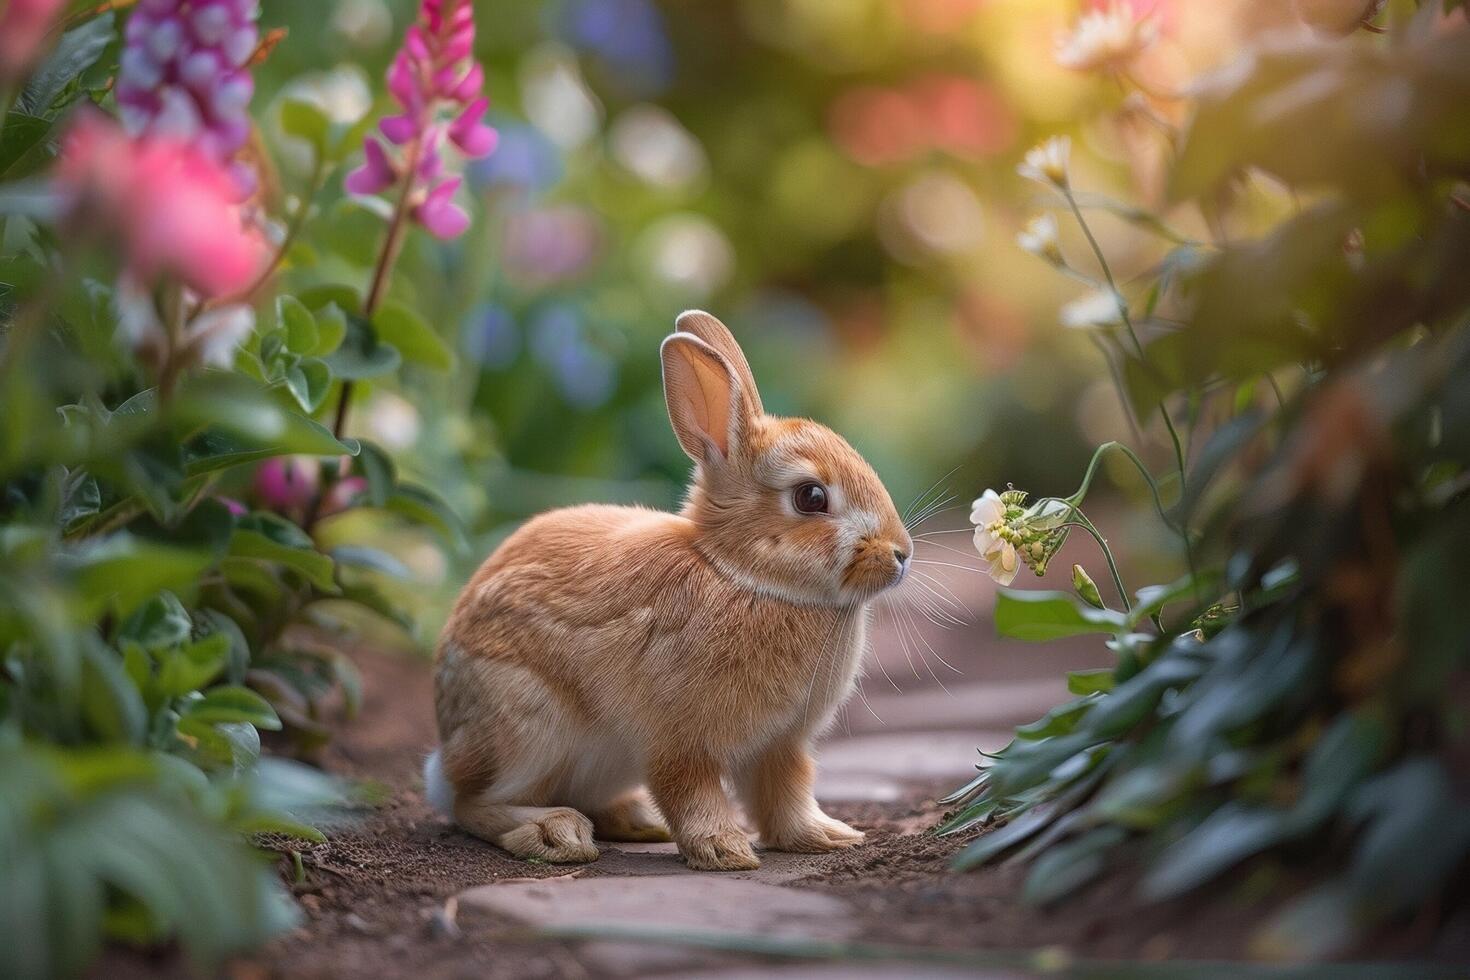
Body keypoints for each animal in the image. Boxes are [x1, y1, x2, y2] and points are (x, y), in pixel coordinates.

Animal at [420, 310, 911, 869]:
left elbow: (785, 794)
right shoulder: (678, 740)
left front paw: (827, 837)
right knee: (470, 802)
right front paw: (724, 851)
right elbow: (691, 791)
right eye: (811, 497)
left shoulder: (780, 745)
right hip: (526, 726)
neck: (740, 574)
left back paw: (636, 820)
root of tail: (445, 748)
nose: (901, 554)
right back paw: (554, 833)